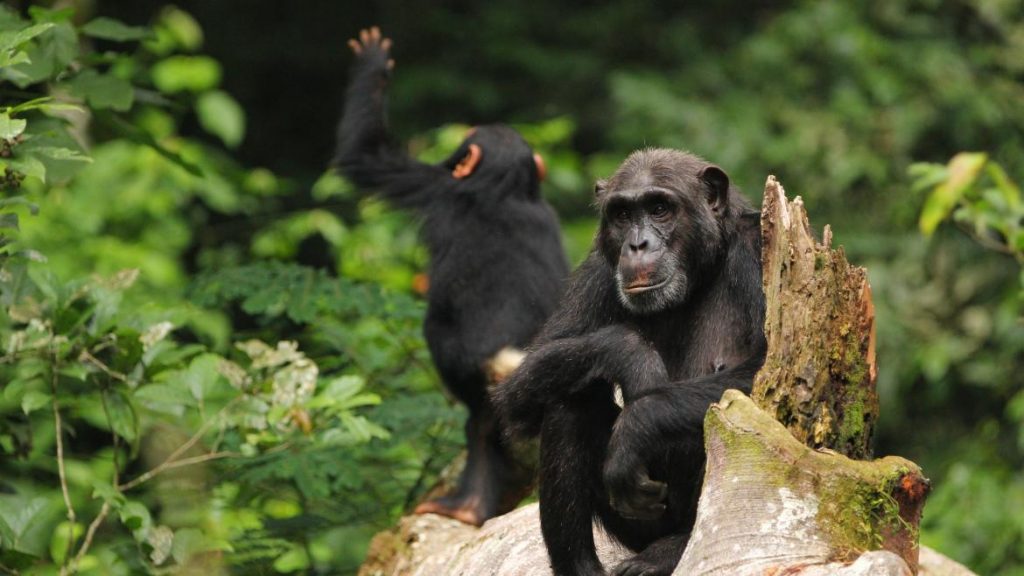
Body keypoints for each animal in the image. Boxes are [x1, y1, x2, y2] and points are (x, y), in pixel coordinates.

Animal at [337, 29, 573, 528]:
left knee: (476, 423)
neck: (501, 189)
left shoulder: (433, 186)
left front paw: (373, 64)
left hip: (463, 366)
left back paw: (463, 505)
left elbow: (364, 154)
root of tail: (506, 355)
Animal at [491, 148, 765, 573]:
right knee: (569, 401)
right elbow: (518, 390)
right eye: (622, 214)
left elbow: (766, 368)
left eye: (659, 208)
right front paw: (633, 357)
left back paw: (669, 551)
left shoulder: (759, 249)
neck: (701, 273)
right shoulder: (597, 272)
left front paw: (636, 426)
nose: (638, 244)